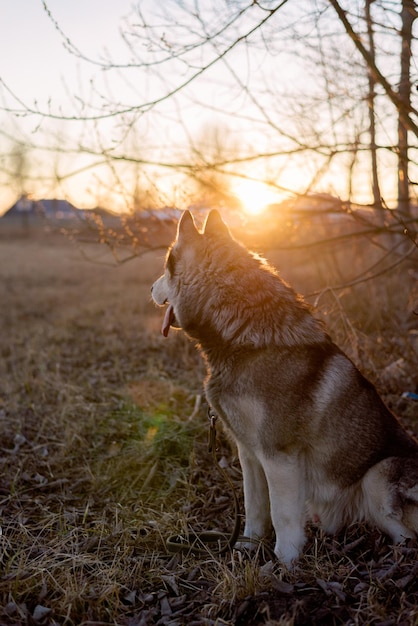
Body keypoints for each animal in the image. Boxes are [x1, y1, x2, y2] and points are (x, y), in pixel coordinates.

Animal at [151, 210, 418, 564]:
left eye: (166, 265)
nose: (150, 288)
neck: (242, 338)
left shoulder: (278, 455)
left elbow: (282, 514)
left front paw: (284, 561)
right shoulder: (249, 452)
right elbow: (254, 506)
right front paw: (247, 548)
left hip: (377, 475)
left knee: (407, 535)